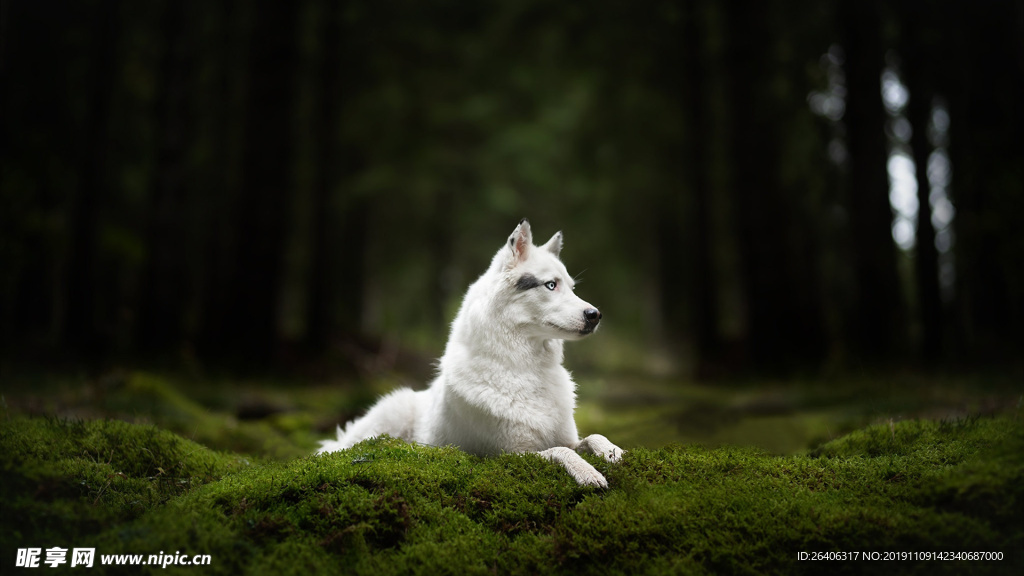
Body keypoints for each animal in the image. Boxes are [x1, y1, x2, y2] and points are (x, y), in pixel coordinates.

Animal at [319, 218, 622, 483]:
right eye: (550, 285)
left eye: (571, 288)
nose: (595, 315)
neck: (524, 369)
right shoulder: (511, 454)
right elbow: (561, 452)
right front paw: (587, 472)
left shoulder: (568, 438)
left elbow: (592, 438)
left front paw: (614, 452)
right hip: (391, 412)